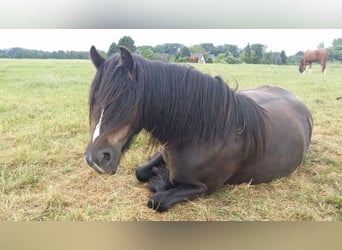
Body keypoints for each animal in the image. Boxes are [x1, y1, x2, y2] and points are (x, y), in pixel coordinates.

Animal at [84, 46, 314, 212]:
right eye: (95, 99)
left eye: (124, 99)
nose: (96, 159)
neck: (199, 136)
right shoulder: (164, 152)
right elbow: (140, 171)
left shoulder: (202, 187)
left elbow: (157, 200)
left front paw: (160, 182)